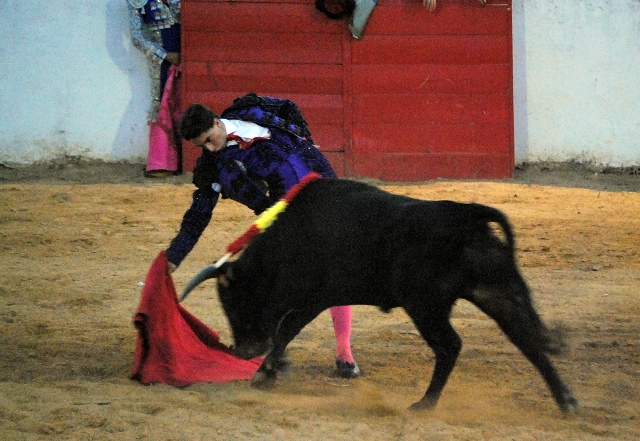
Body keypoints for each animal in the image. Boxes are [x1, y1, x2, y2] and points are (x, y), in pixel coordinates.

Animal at [182, 177, 576, 410]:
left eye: (235, 303)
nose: (242, 350)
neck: (284, 243)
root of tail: (466, 215)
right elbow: (285, 332)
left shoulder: (313, 297)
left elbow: (285, 331)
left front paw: (263, 373)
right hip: (496, 292)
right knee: (527, 341)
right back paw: (566, 400)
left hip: (426, 306)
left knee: (450, 346)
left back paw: (425, 403)